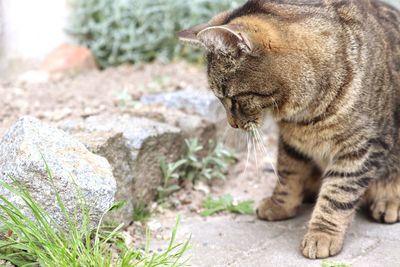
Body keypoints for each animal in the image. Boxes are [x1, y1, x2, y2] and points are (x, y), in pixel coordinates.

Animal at [178, 0, 400, 260]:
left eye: (231, 98)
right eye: (219, 98)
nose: (232, 123)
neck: (303, 116)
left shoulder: (360, 147)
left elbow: (338, 194)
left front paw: (322, 234)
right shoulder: (291, 142)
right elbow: (287, 174)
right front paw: (280, 205)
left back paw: (388, 202)